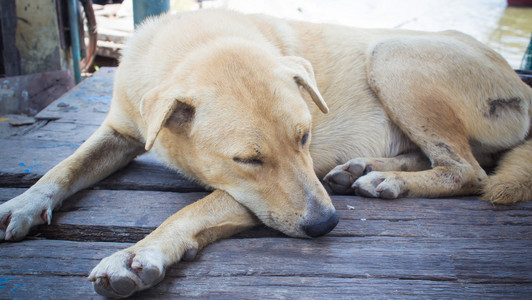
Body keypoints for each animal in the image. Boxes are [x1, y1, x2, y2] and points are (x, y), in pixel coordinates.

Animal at [1, 9, 532, 298]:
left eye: (304, 137)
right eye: (249, 159)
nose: (326, 225)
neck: (197, 44)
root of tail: (519, 80)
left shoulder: (261, 195)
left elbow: (195, 208)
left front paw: (139, 253)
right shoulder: (118, 131)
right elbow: (64, 166)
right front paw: (23, 203)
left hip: (391, 55)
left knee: (468, 171)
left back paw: (388, 179)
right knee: (453, 161)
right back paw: (365, 170)